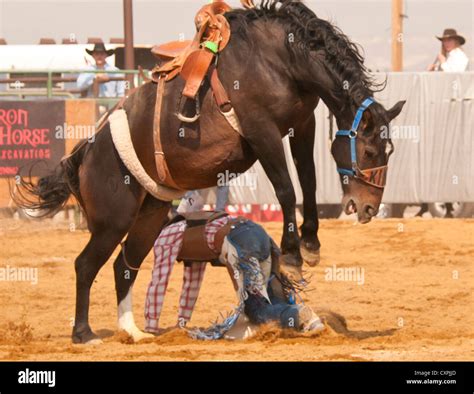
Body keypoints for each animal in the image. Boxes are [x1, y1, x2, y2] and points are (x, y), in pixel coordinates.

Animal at [14, 1, 404, 344]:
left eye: (388, 150)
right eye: (370, 150)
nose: (369, 207)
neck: (279, 58)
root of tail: (84, 152)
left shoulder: (303, 124)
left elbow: (308, 181)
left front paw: (310, 244)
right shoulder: (262, 131)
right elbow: (286, 189)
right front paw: (293, 256)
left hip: (148, 217)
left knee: (124, 265)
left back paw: (133, 332)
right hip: (113, 220)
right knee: (85, 265)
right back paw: (84, 334)